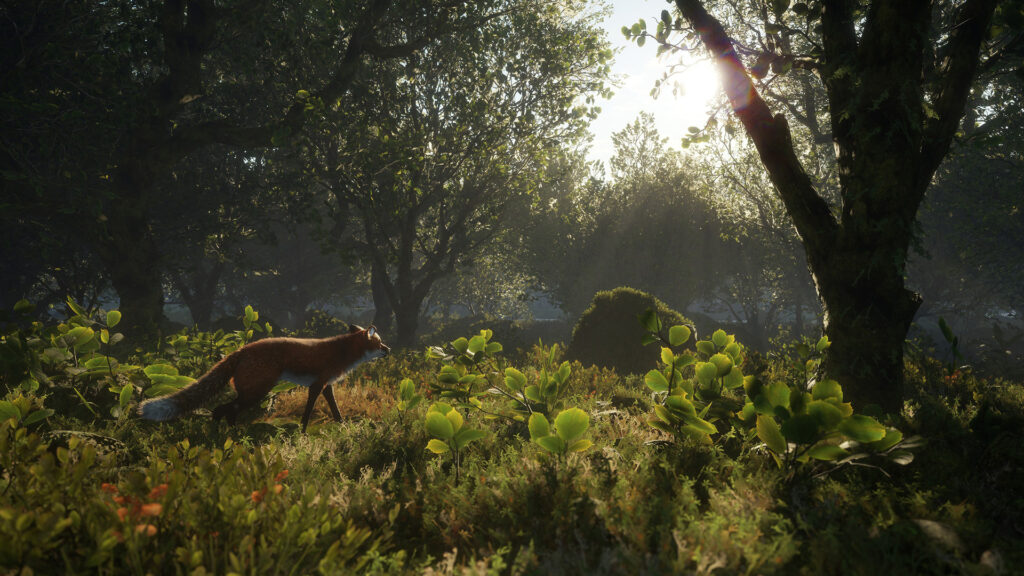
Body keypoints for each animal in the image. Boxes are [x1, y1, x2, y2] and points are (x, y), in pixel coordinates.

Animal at [138, 325, 390, 432]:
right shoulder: (317, 385)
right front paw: (302, 433)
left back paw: (223, 435)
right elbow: (308, 412)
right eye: (379, 343)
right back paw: (230, 436)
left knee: (223, 411)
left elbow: (335, 410)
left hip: (251, 393)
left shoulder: (326, 386)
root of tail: (240, 351)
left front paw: (343, 426)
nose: (388, 349)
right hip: (257, 392)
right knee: (224, 410)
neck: (341, 352)